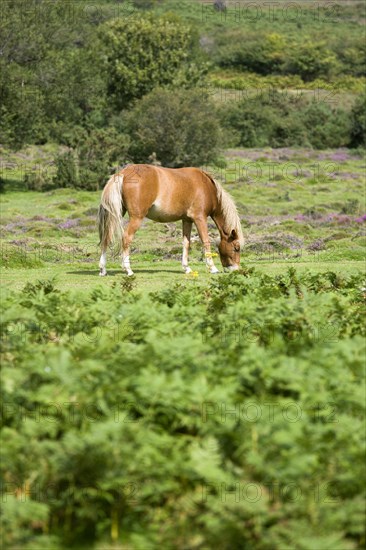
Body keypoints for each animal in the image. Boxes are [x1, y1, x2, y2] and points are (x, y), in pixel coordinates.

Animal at [98, 164, 244, 276]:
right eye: (236, 248)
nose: (236, 269)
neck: (208, 187)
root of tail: (124, 173)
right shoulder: (200, 218)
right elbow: (205, 241)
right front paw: (212, 268)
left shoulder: (187, 220)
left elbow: (186, 243)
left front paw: (186, 268)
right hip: (136, 218)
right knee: (126, 238)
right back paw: (128, 270)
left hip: (116, 213)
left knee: (107, 237)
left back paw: (103, 269)